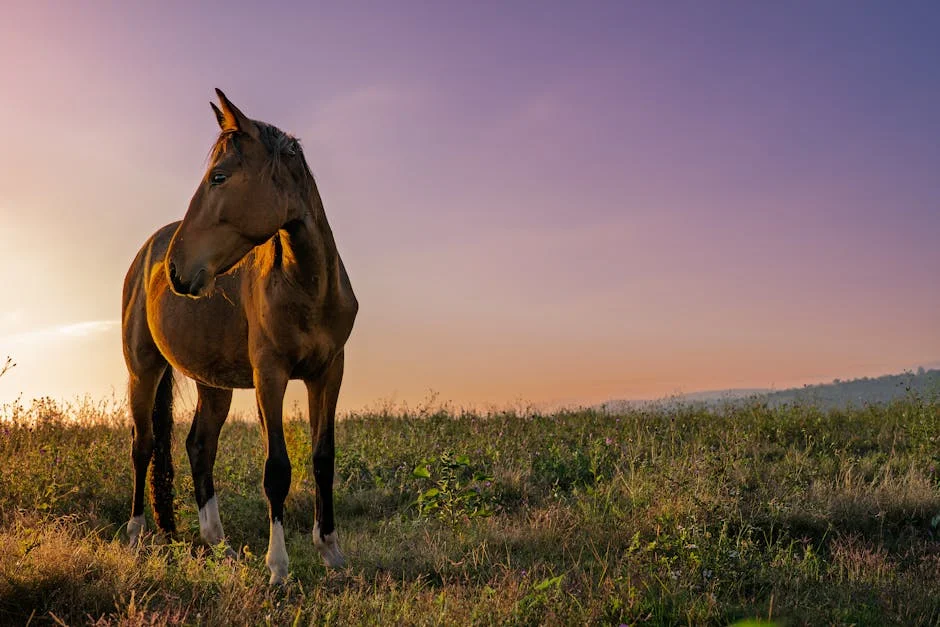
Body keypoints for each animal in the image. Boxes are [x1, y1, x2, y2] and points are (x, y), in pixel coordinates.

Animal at [121, 89, 358, 584]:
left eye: (219, 176)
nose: (176, 269)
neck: (306, 286)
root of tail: (147, 253)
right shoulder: (270, 376)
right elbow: (277, 469)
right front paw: (278, 567)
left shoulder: (329, 373)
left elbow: (323, 459)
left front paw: (331, 552)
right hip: (143, 370)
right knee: (143, 445)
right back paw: (135, 535)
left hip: (214, 385)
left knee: (199, 447)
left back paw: (219, 544)